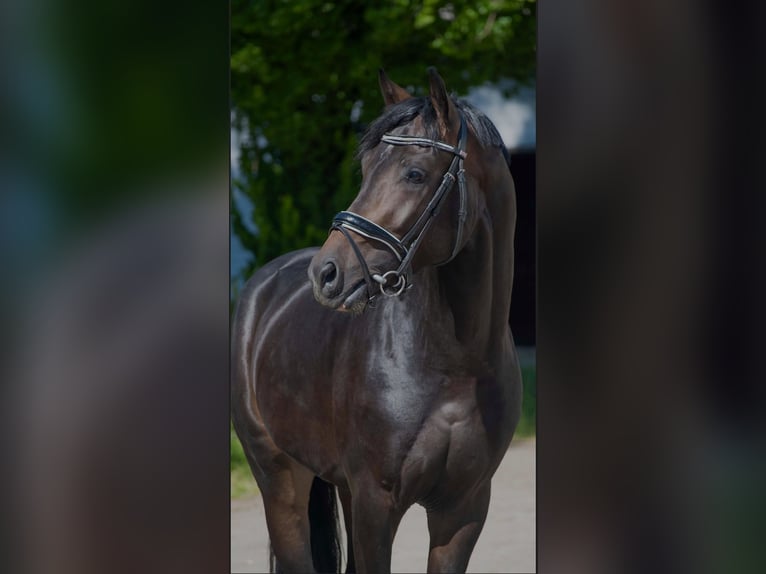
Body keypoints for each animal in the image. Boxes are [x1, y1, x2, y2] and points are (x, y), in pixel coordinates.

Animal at [231, 68, 524, 574]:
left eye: (415, 173)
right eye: (366, 169)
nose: (326, 274)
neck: (456, 363)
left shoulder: (463, 510)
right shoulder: (376, 504)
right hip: (280, 478)